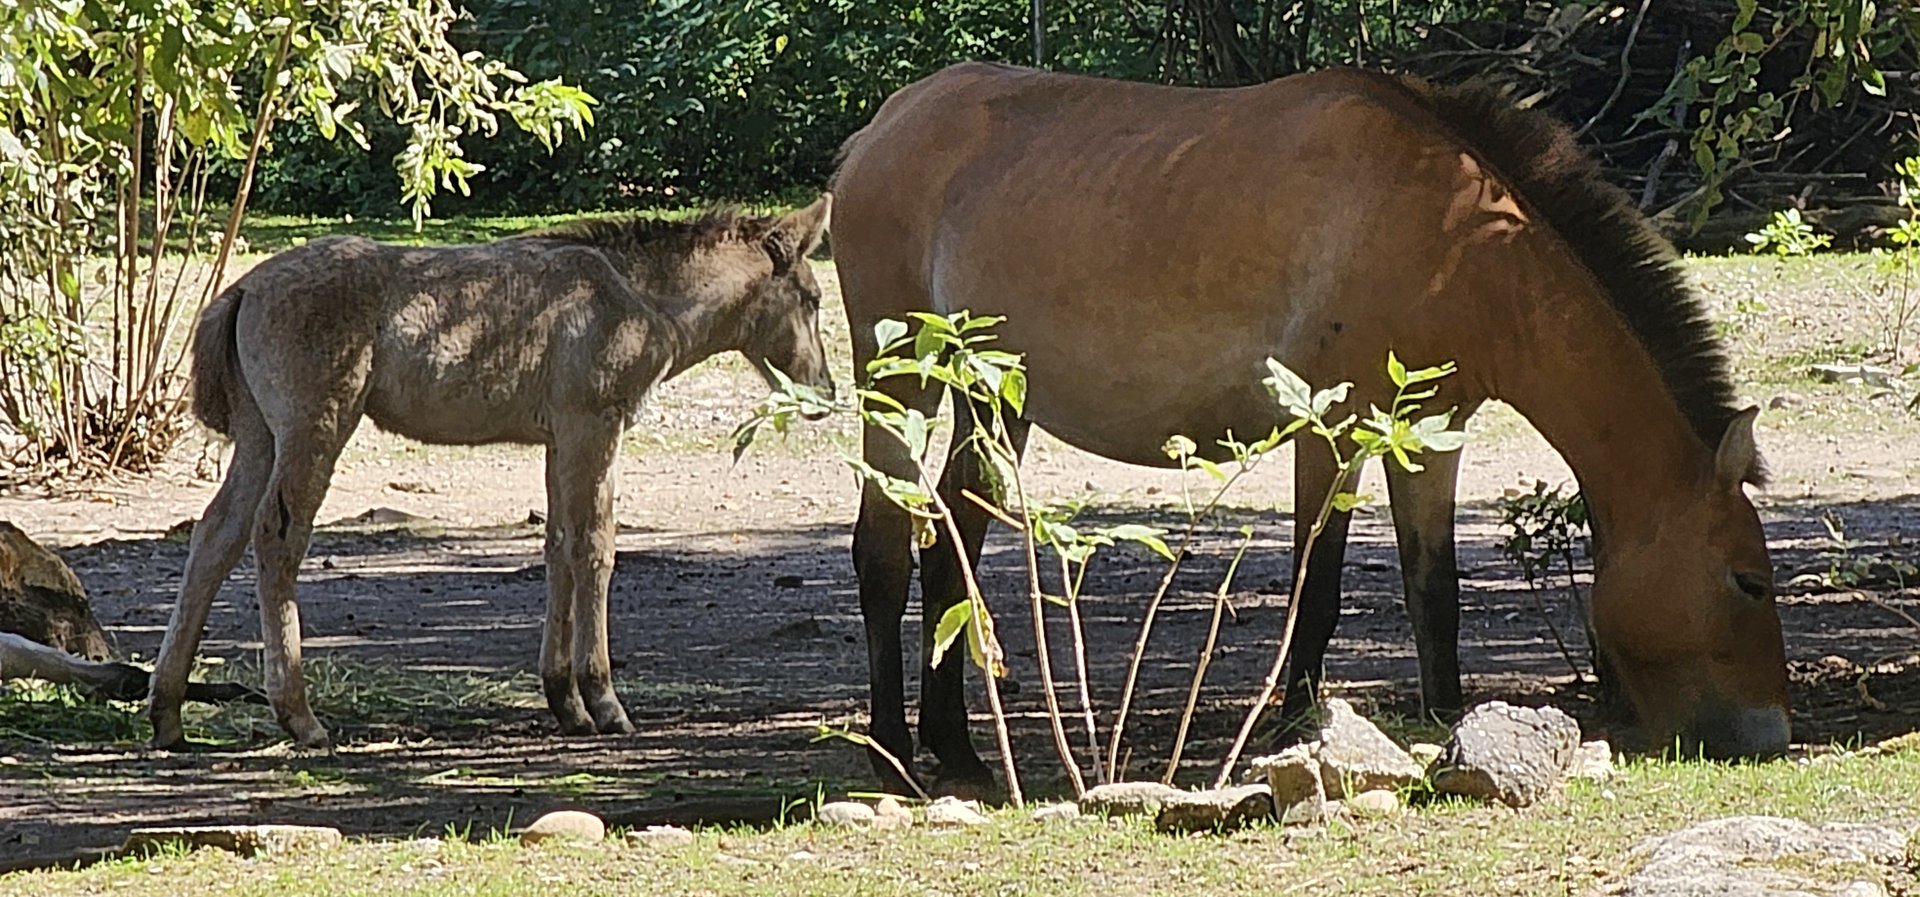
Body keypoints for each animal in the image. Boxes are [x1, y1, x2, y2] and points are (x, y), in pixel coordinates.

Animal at [146, 196, 835, 750]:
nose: (825, 391)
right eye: (813, 297)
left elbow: (558, 546)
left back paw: (168, 713)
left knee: (215, 535)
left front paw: (565, 702)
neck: (639, 297)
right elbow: (596, 548)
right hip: (315, 425)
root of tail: (242, 290)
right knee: (276, 537)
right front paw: (605, 701)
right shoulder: (594, 425)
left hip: (259, 437)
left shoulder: (559, 438)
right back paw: (300, 716)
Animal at [830, 62, 1789, 793]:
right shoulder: (1332, 429)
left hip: (992, 399)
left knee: (949, 546)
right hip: (901, 379)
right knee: (883, 549)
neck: (1453, 243)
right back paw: (895, 757)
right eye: (1748, 581)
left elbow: (1433, 590)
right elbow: (1315, 589)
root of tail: (885, 126)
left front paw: (1452, 723)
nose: (1772, 737)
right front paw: (1298, 728)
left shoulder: (1430, 434)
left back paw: (960, 753)